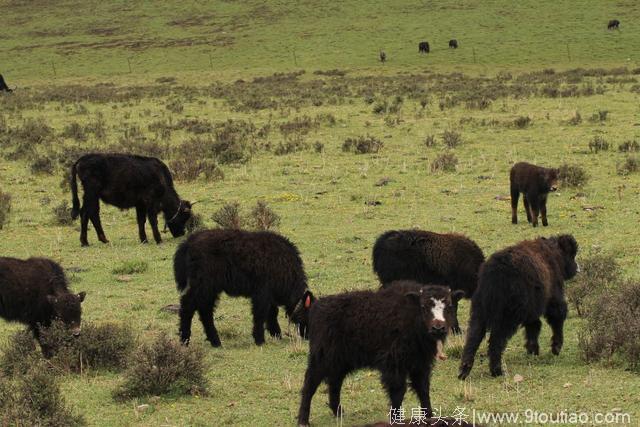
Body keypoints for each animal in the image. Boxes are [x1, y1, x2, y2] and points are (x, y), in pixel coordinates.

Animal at [175, 231, 316, 348]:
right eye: (309, 315)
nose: (309, 337)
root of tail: (190, 241)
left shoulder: (269, 296)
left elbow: (272, 313)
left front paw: (276, 334)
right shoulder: (261, 294)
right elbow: (260, 315)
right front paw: (260, 340)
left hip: (210, 290)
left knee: (205, 310)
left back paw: (216, 342)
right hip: (203, 286)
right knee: (188, 306)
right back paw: (185, 341)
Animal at [298, 282, 462, 426]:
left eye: (449, 306)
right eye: (424, 306)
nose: (438, 328)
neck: (411, 316)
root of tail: (317, 306)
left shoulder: (420, 364)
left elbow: (423, 390)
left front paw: (430, 418)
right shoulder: (394, 364)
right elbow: (398, 392)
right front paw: (396, 420)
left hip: (340, 361)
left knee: (334, 383)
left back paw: (339, 412)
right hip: (321, 358)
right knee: (309, 385)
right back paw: (303, 420)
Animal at [458, 236, 576, 380]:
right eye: (571, 254)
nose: (577, 268)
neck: (554, 254)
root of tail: (494, 272)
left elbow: (534, 326)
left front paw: (533, 350)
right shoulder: (553, 298)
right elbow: (556, 318)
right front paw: (555, 348)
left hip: (480, 312)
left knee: (473, 338)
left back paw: (464, 371)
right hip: (506, 318)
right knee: (495, 342)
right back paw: (497, 371)